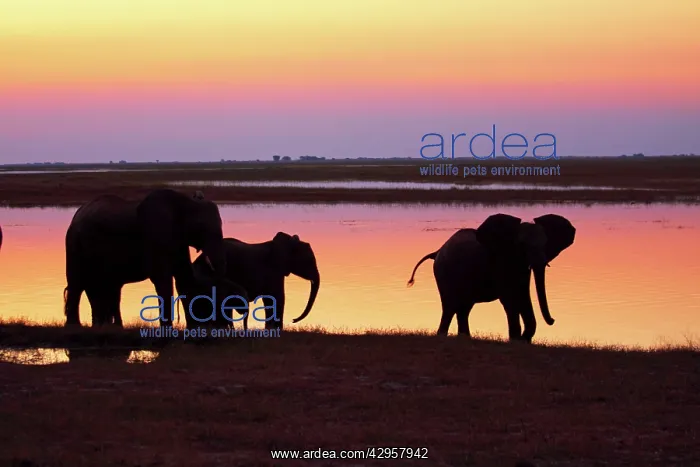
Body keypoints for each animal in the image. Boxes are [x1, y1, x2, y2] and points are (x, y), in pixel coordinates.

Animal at [63, 188, 227, 328]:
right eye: (201, 228)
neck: (185, 202)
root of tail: (76, 215)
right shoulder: (156, 234)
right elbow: (162, 279)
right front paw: (167, 330)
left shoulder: (179, 241)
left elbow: (184, 277)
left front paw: (191, 329)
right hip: (74, 244)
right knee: (78, 283)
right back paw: (74, 327)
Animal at [407, 213, 576, 343]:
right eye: (522, 245)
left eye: (546, 243)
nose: (553, 320)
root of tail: (437, 251)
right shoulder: (500, 263)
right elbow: (510, 298)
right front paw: (516, 340)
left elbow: (522, 295)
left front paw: (522, 340)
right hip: (444, 273)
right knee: (450, 306)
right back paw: (443, 335)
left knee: (464, 308)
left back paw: (465, 337)